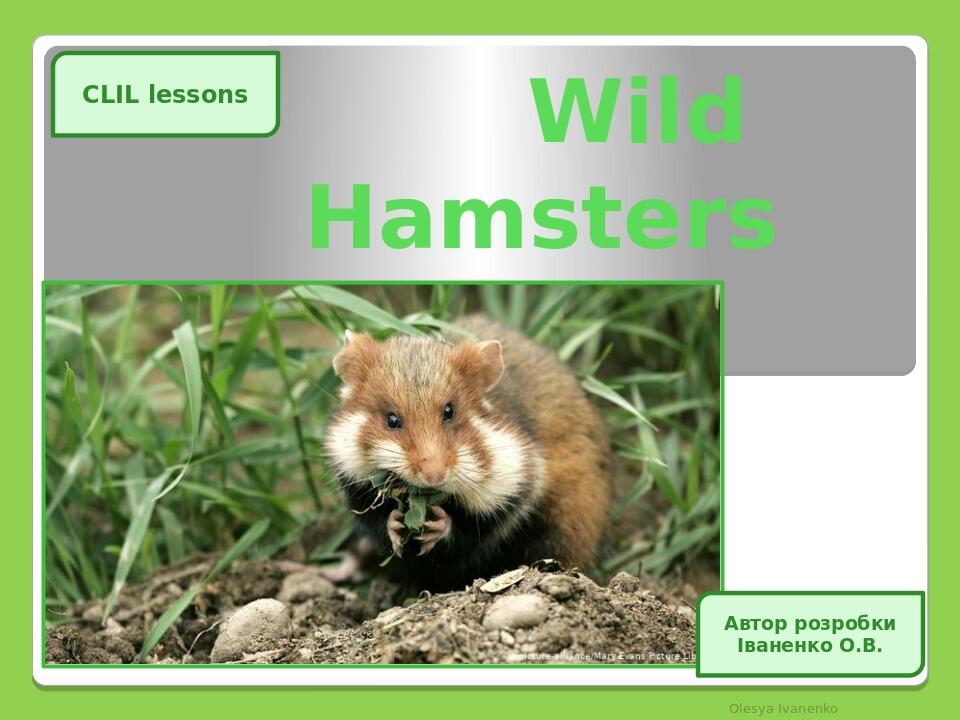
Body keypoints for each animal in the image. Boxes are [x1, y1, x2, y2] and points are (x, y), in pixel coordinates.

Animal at [324, 314, 612, 591]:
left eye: (450, 411)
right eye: (391, 420)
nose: (434, 476)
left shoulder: (514, 491)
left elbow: (470, 530)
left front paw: (437, 525)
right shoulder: (353, 482)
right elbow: (376, 520)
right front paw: (395, 523)